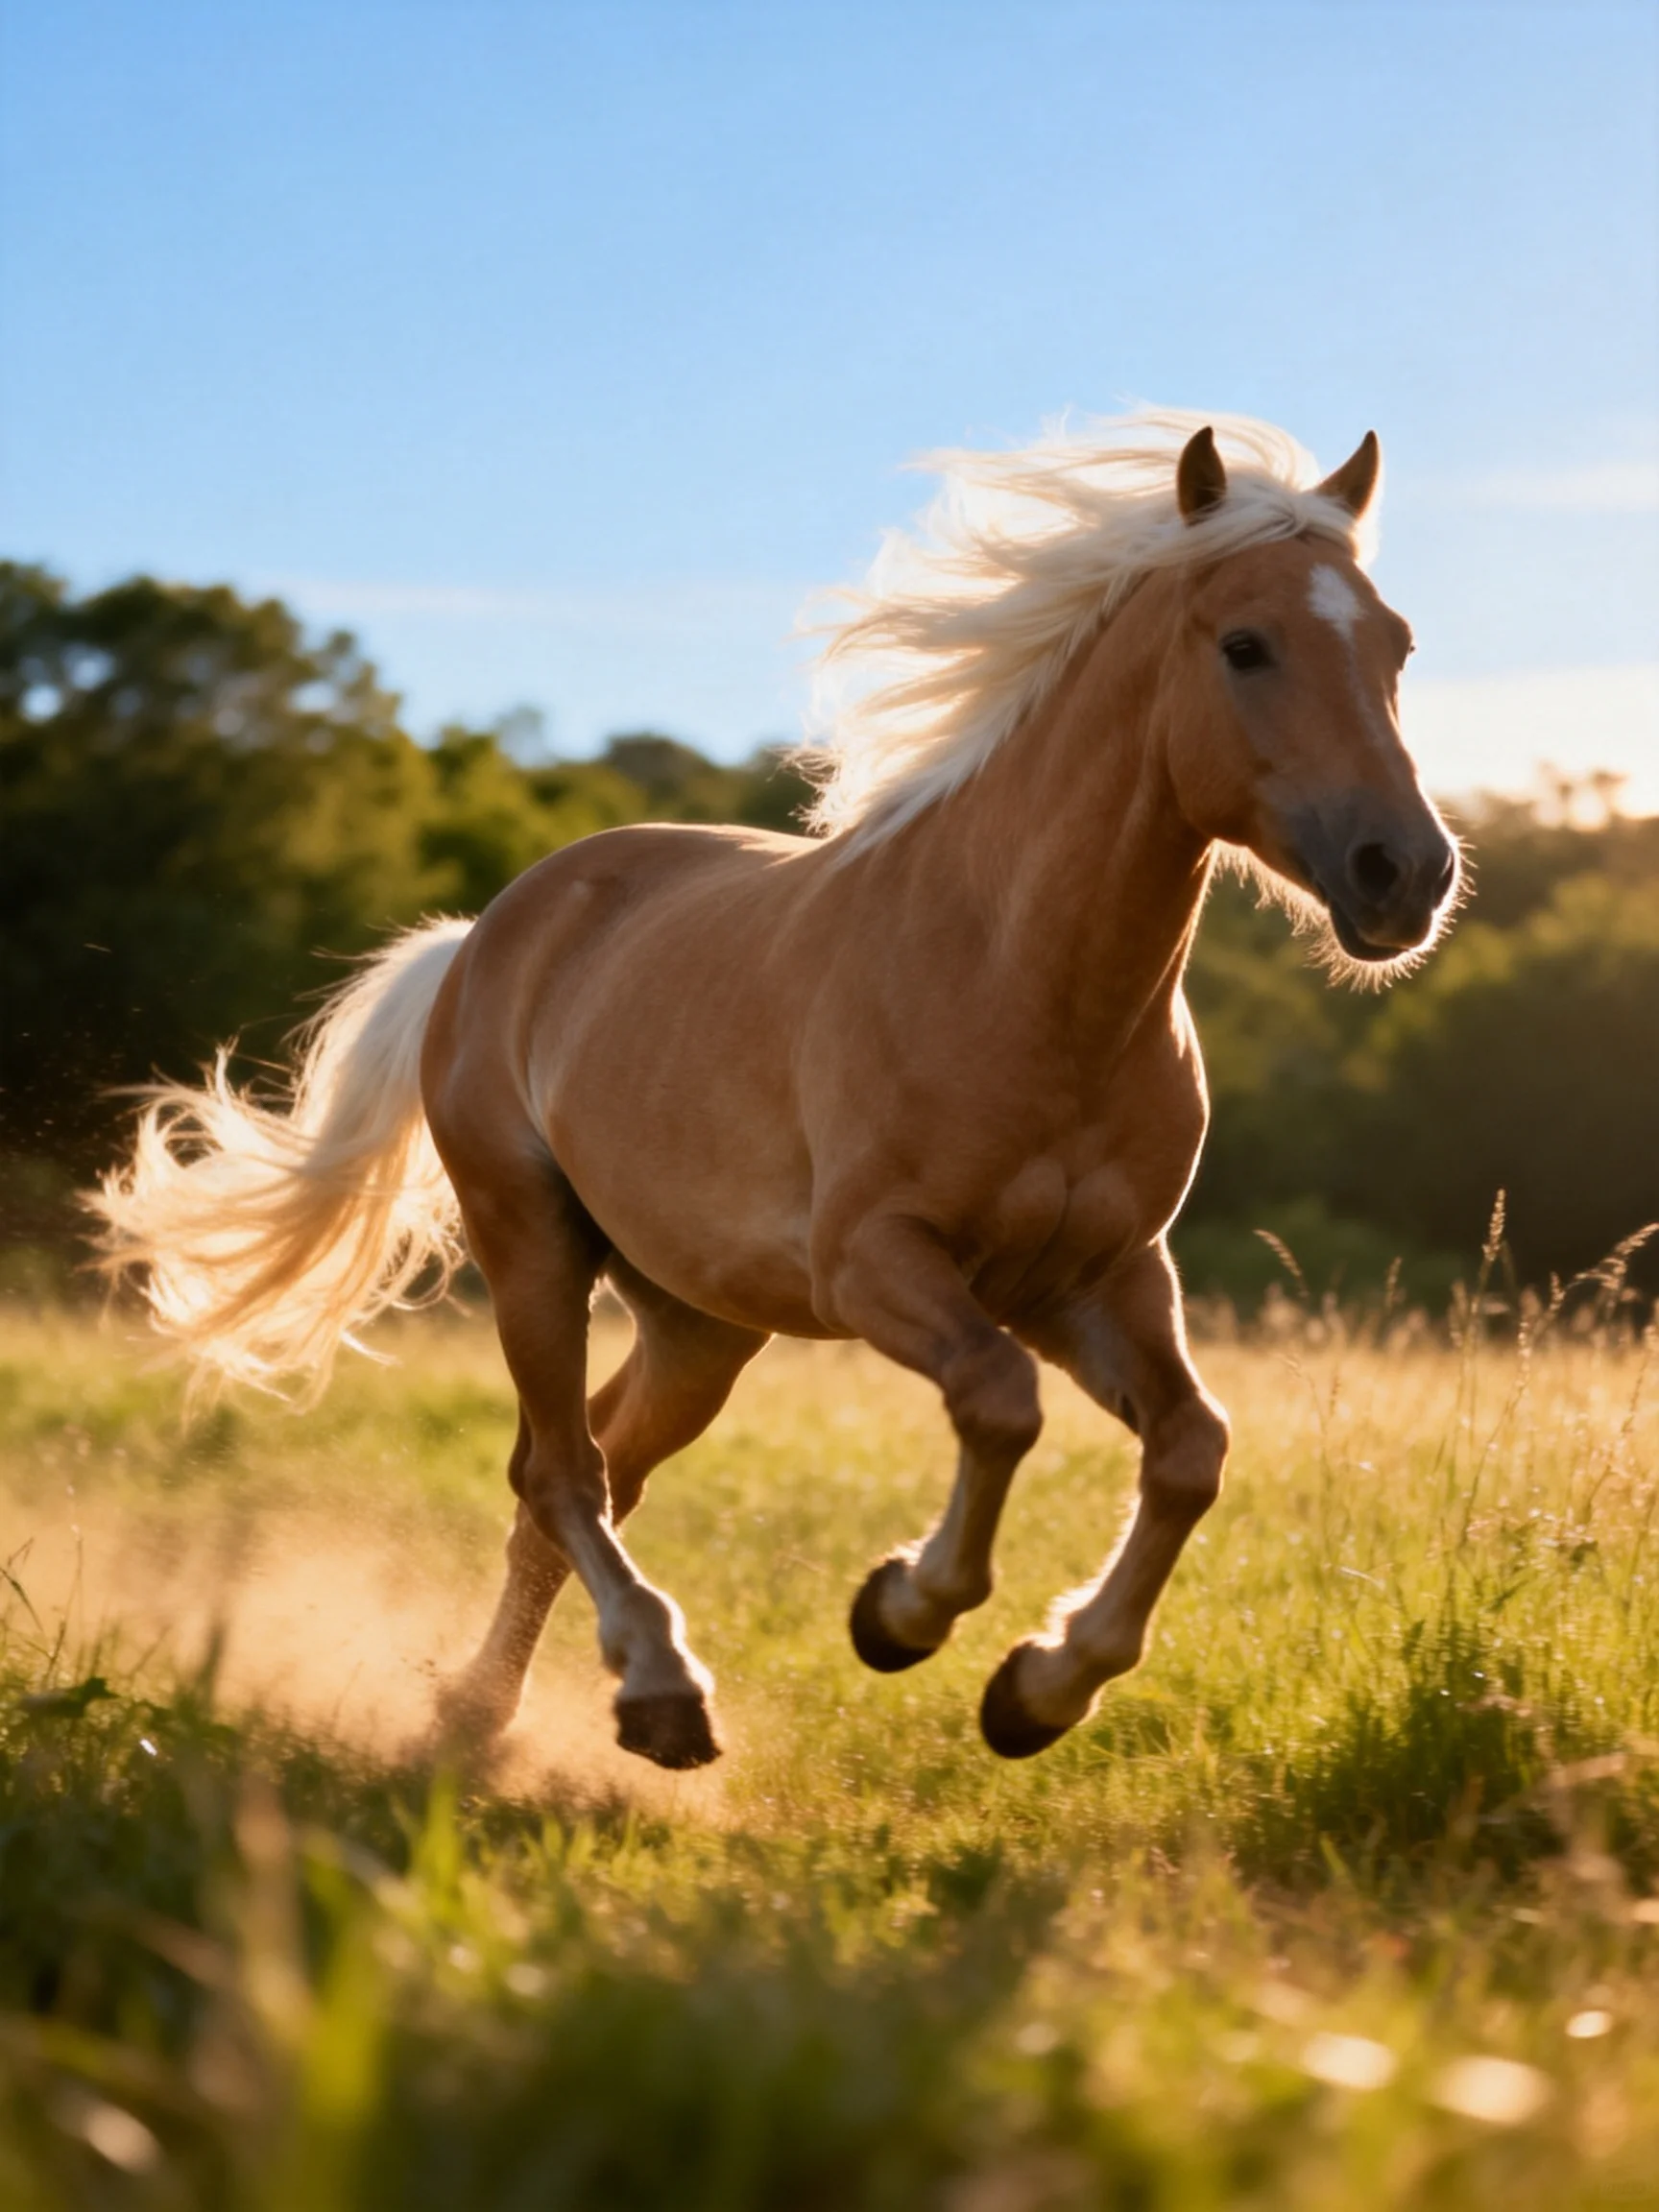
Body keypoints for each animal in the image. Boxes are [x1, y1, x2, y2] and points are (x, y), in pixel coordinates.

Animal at [92, 413, 1461, 1772]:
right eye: (1245, 645)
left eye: (1396, 643)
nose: (1406, 872)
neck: (1022, 977)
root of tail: (484, 935)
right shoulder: (878, 1263)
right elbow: (999, 1405)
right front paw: (902, 1613)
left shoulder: (1098, 1277)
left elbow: (1189, 1451)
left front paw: (1039, 1688)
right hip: (530, 1243)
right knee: (562, 1471)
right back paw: (655, 1693)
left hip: (699, 1325)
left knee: (585, 1469)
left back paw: (490, 1716)